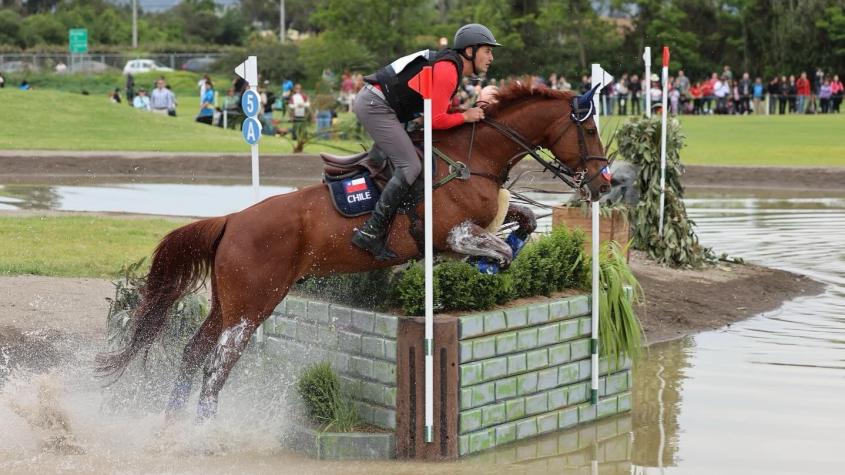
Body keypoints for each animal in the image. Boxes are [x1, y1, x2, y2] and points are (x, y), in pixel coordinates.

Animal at [95, 82, 608, 420]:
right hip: (251, 308)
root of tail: (233, 221)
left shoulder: (479, 224)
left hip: (228, 303)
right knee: (215, 370)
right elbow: (501, 248)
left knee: (192, 355)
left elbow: (522, 222)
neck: (474, 158)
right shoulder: (453, 233)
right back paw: (204, 435)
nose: (602, 184)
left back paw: (172, 425)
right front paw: (485, 267)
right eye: (589, 133)